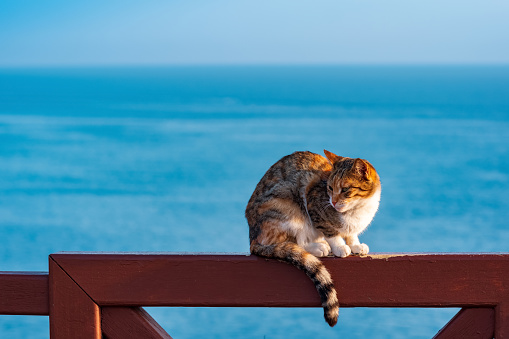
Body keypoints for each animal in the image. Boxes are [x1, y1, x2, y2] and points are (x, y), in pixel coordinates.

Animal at [244, 151, 380, 326]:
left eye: (345, 189)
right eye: (330, 188)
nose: (333, 202)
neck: (358, 209)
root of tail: (252, 239)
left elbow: (351, 234)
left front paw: (356, 245)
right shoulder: (314, 206)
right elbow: (331, 233)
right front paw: (340, 247)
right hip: (287, 207)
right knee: (294, 242)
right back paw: (319, 247)